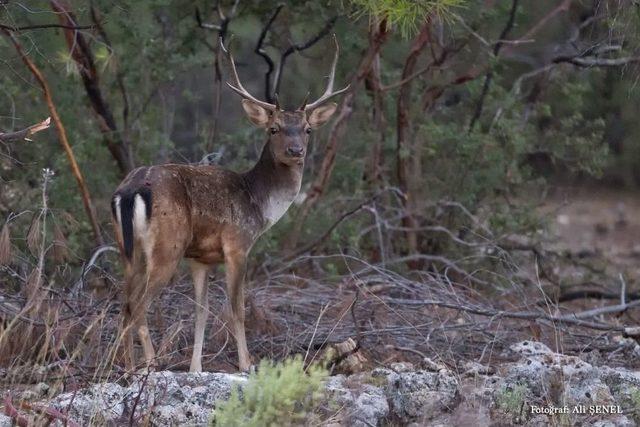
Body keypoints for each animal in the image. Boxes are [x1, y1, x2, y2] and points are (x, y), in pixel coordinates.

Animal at [111, 36, 350, 372]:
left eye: (307, 129)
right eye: (273, 128)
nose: (296, 150)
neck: (259, 204)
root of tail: (131, 189)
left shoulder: (200, 258)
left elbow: (201, 311)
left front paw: (196, 368)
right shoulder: (237, 245)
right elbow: (236, 308)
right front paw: (246, 365)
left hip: (128, 250)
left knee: (124, 303)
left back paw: (123, 367)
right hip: (168, 246)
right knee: (138, 305)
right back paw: (148, 365)